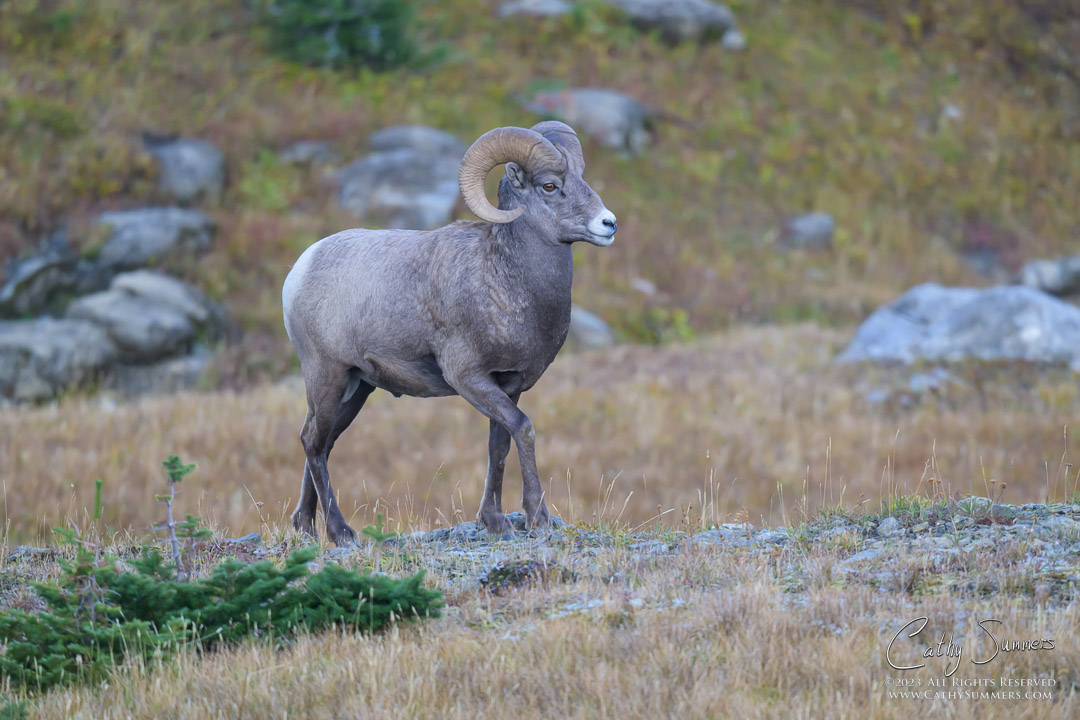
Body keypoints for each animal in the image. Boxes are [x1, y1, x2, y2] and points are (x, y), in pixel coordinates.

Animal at [282, 121, 617, 545]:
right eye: (549, 186)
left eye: (581, 176)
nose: (609, 223)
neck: (506, 279)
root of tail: (300, 270)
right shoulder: (468, 378)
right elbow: (523, 429)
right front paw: (536, 516)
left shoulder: (508, 386)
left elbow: (498, 445)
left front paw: (494, 522)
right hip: (327, 375)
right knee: (313, 441)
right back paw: (342, 533)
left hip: (356, 388)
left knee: (322, 443)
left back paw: (306, 527)